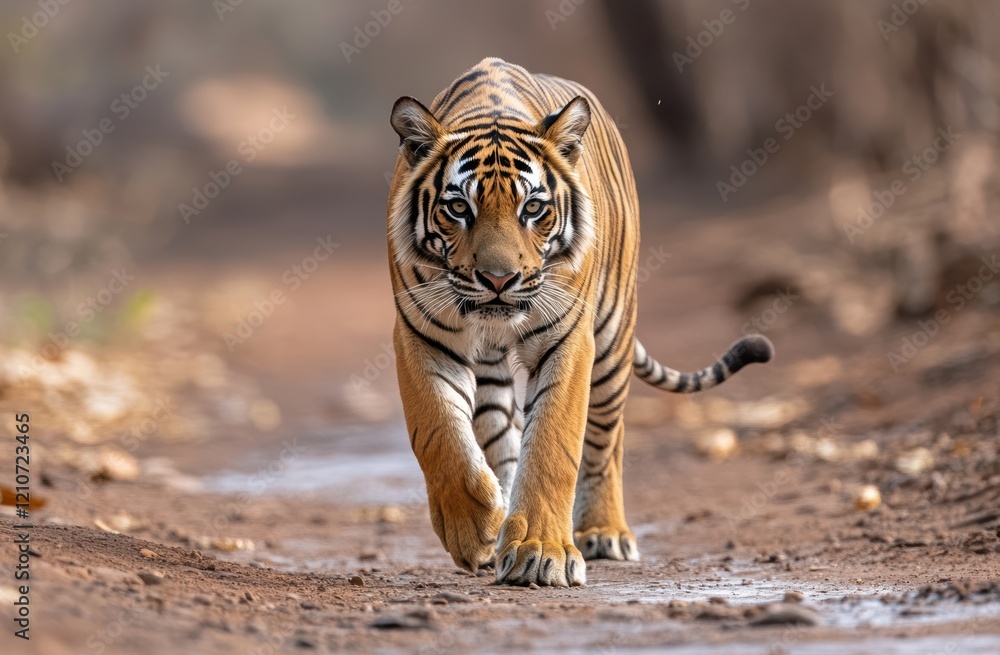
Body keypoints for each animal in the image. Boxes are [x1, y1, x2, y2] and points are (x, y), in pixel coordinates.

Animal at [386, 58, 773, 587]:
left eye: (533, 208)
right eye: (458, 207)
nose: (498, 279)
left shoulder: (568, 338)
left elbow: (554, 442)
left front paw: (539, 553)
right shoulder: (419, 333)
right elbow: (437, 431)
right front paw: (473, 529)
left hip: (612, 337)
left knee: (608, 439)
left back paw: (604, 532)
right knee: (500, 431)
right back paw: (501, 510)